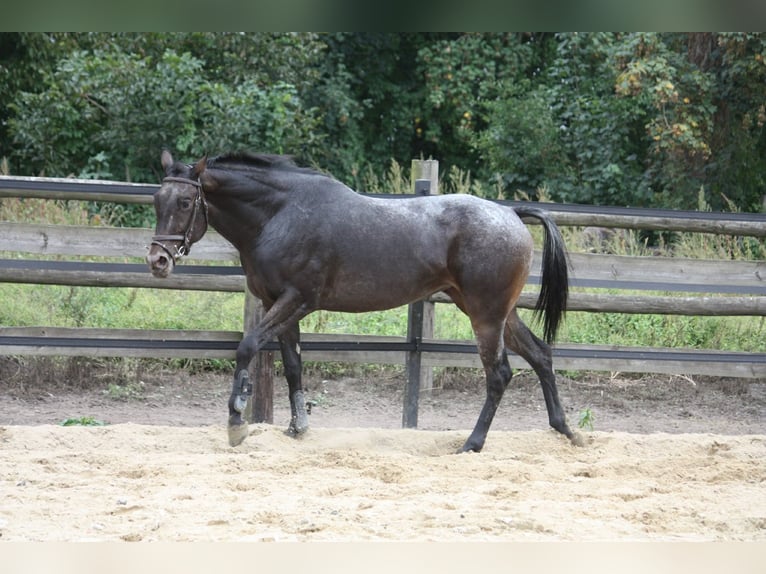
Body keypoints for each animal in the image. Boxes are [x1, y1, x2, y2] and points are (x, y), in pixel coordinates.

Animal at [147, 150, 580, 452]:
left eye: (185, 203)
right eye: (156, 201)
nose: (158, 260)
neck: (279, 214)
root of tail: (511, 213)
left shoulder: (297, 299)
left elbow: (248, 346)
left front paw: (236, 423)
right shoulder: (280, 304)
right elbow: (293, 365)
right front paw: (297, 428)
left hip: (485, 315)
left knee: (500, 374)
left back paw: (472, 443)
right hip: (495, 311)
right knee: (540, 355)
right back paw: (565, 430)